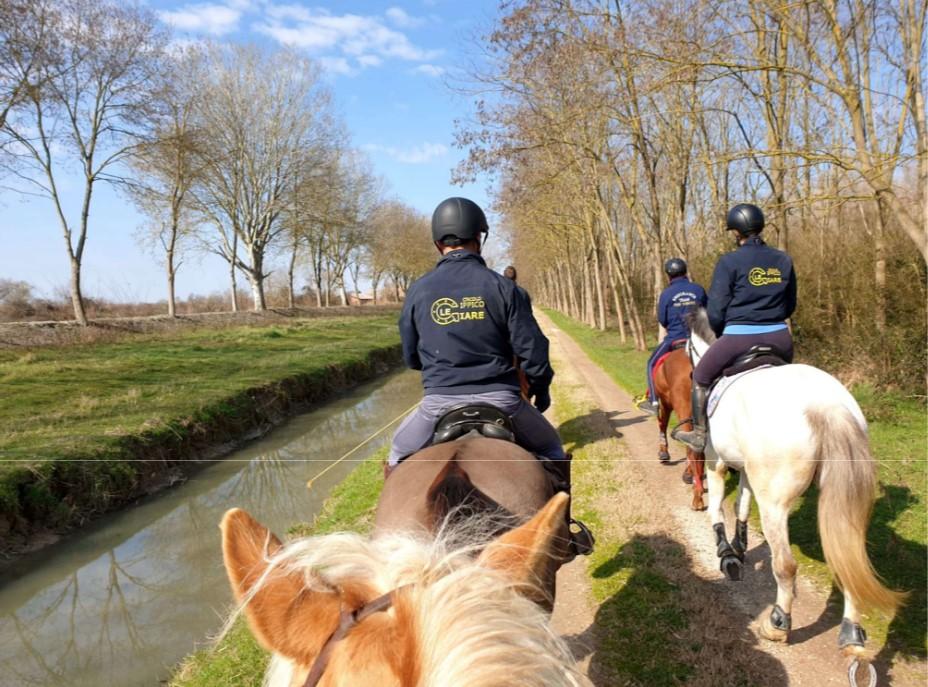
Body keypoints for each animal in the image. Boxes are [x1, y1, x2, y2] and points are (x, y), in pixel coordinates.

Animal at [685, 308, 904, 661]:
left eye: (687, 348)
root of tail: (826, 405)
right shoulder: (746, 471)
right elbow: (741, 504)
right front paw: (739, 547)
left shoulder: (715, 461)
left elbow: (718, 508)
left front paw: (727, 554)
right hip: (843, 504)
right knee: (848, 560)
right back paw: (851, 633)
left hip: (775, 503)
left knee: (786, 566)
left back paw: (778, 624)